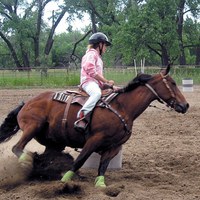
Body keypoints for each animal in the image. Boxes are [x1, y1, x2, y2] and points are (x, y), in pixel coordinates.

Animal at [0, 65, 189, 188]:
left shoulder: (114, 146)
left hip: (54, 142)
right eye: (172, 83)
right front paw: (66, 179)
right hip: (33, 126)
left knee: (46, 156)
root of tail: (26, 103)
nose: (185, 105)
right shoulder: (94, 139)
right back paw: (28, 161)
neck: (123, 107)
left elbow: (103, 166)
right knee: (17, 148)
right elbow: (80, 160)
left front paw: (100, 185)